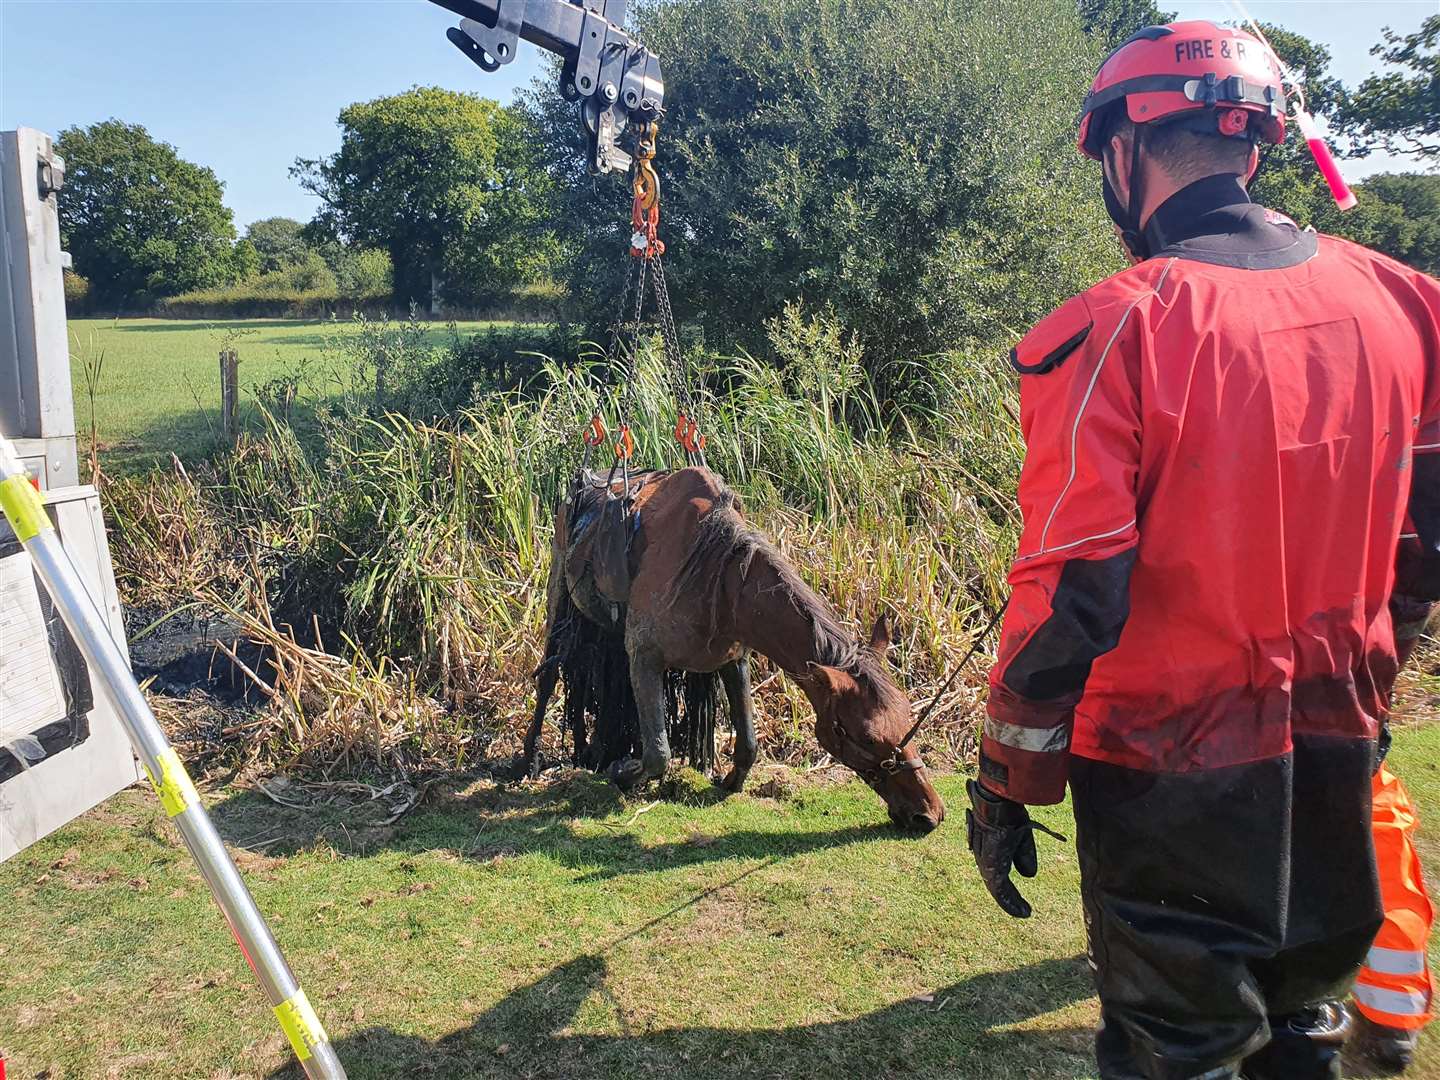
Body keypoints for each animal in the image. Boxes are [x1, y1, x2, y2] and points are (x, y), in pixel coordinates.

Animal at [524, 466, 950, 835]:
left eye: (908, 717)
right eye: (866, 738)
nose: (927, 814)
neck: (721, 579)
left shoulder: (733, 659)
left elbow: (748, 743)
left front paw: (727, 780)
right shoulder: (644, 656)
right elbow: (658, 754)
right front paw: (622, 773)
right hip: (558, 592)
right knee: (547, 679)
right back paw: (529, 762)